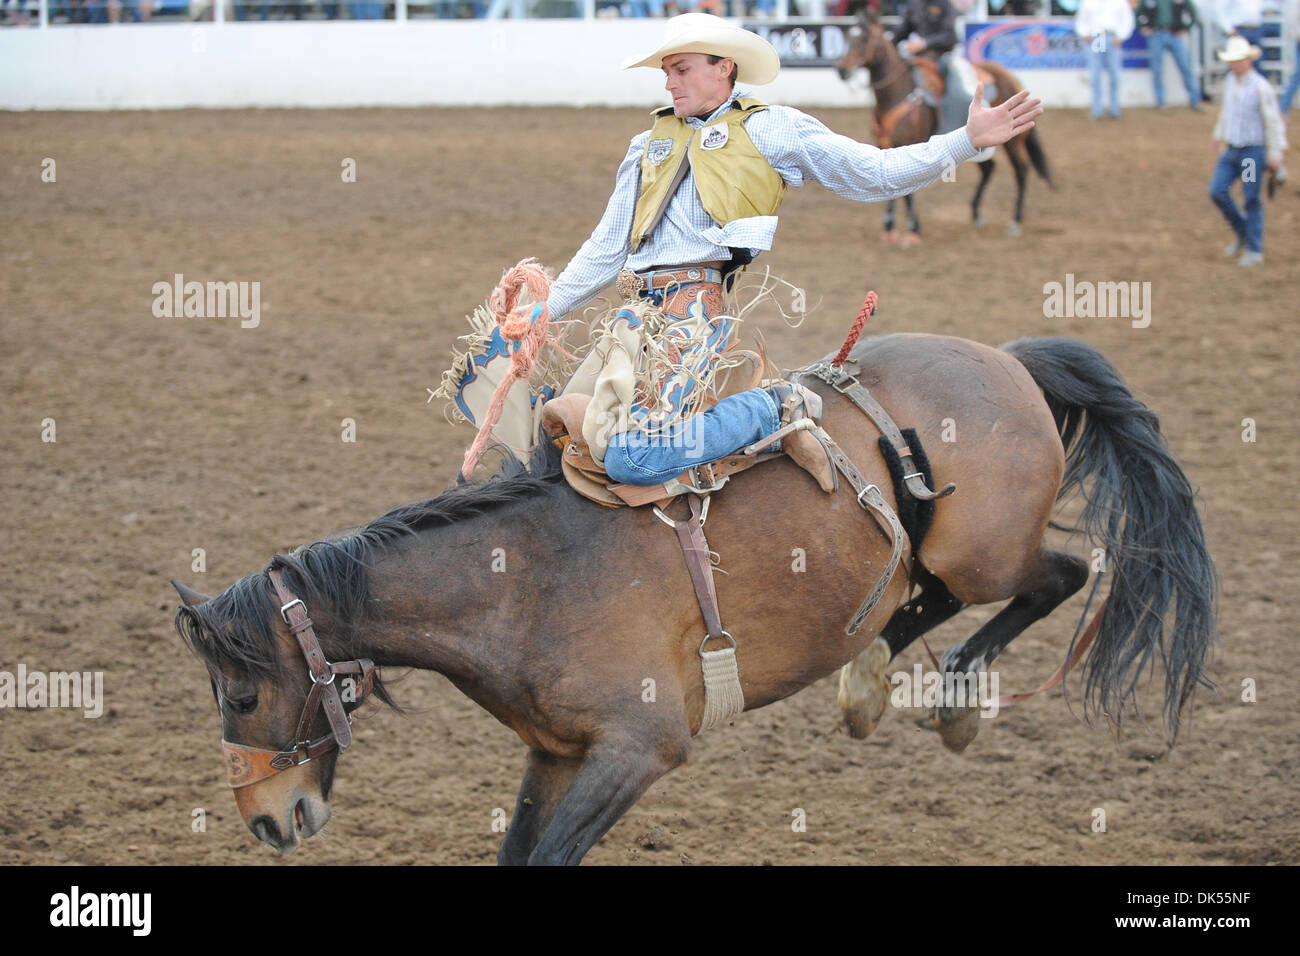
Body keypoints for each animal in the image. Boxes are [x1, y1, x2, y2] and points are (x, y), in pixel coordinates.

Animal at [172, 332, 1216, 863]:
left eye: (244, 694)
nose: (266, 821)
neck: (528, 576)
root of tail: (1005, 359)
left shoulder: (640, 750)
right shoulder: (558, 754)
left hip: (984, 556)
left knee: (1064, 576)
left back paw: (952, 698)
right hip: (930, 560)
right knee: (910, 601)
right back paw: (869, 680)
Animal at [832, 11, 1055, 243]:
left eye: (864, 38)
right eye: (848, 37)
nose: (842, 70)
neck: (898, 93)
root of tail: (1010, 78)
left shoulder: (907, 142)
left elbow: (905, 191)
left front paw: (913, 229)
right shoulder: (884, 145)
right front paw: (889, 227)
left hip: (1013, 142)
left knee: (1021, 170)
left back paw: (1015, 221)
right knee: (989, 168)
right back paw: (976, 213)